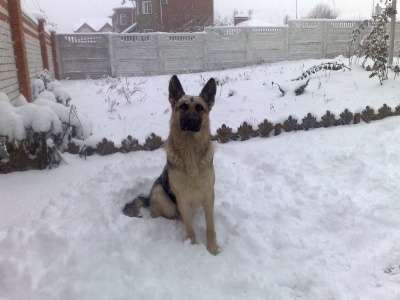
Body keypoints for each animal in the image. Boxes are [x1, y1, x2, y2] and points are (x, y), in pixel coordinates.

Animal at [123, 75, 220, 255]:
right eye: (182, 107)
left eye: (199, 108)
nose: (191, 121)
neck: (190, 151)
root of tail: (148, 198)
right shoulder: (182, 198)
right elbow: (189, 228)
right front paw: (192, 246)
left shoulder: (208, 195)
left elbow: (210, 227)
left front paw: (212, 249)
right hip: (160, 193)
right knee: (164, 215)